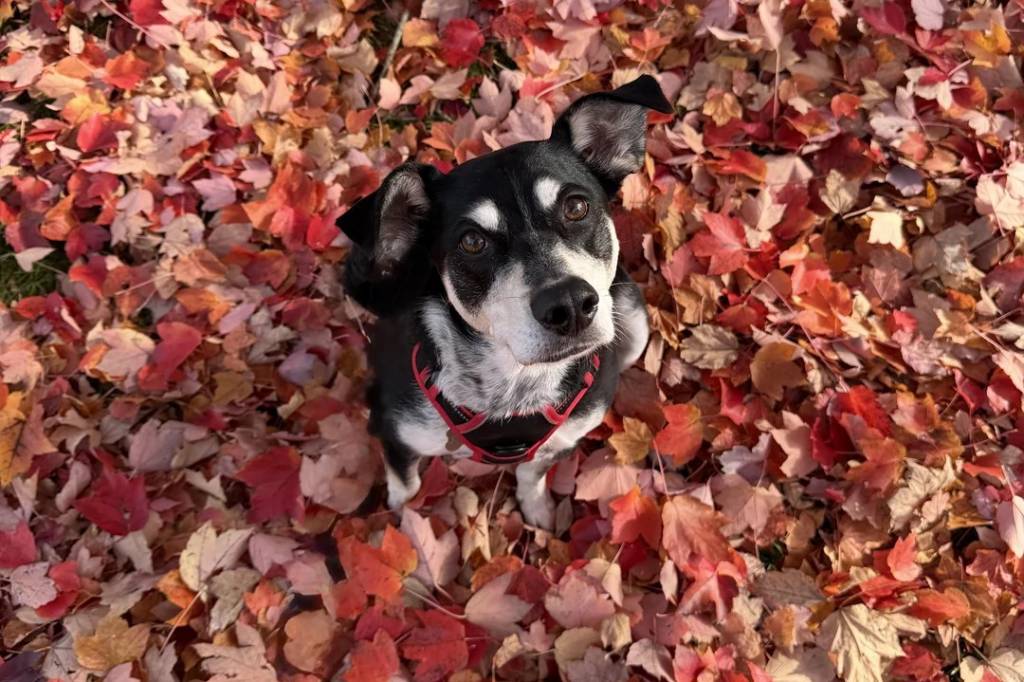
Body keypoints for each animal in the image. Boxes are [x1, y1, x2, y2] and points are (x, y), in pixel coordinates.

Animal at [337, 76, 672, 530]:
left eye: (576, 206)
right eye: (472, 241)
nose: (569, 304)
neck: (515, 385)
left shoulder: (563, 438)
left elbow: (532, 473)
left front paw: (536, 508)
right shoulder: (397, 432)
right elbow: (405, 486)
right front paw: (401, 520)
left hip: (634, 322)